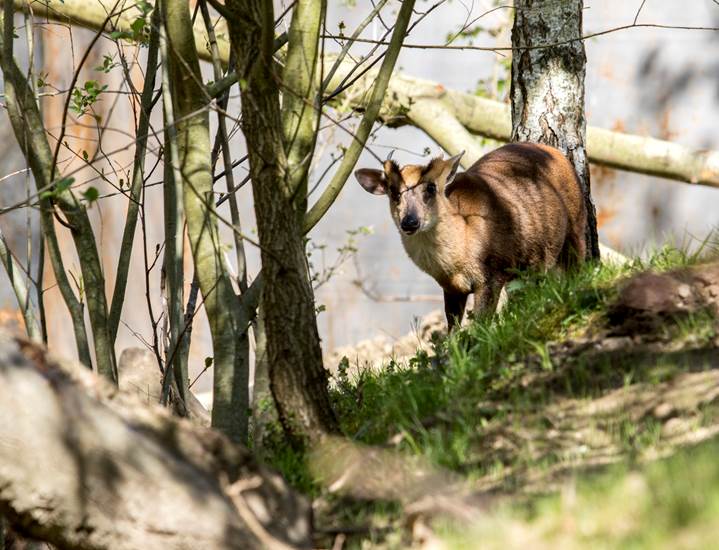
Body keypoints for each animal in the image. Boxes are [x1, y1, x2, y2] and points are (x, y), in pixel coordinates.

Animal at [358, 143, 588, 332]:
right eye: (393, 192)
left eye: (431, 187)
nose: (409, 222)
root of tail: (556, 152)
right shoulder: (450, 287)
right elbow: (452, 329)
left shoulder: (492, 272)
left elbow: (480, 322)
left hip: (576, 225)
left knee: (577, 265)